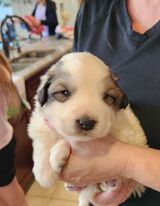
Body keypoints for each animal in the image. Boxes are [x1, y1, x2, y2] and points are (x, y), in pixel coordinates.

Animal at [27, 52, 148, 206]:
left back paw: (110, 184)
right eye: (64, 93)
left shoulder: (124, 130)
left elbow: (63, 140)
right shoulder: (40, 123)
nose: (86, 123)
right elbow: (43, 141)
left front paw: (57, 153)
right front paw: (44, 174)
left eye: (107, 97)